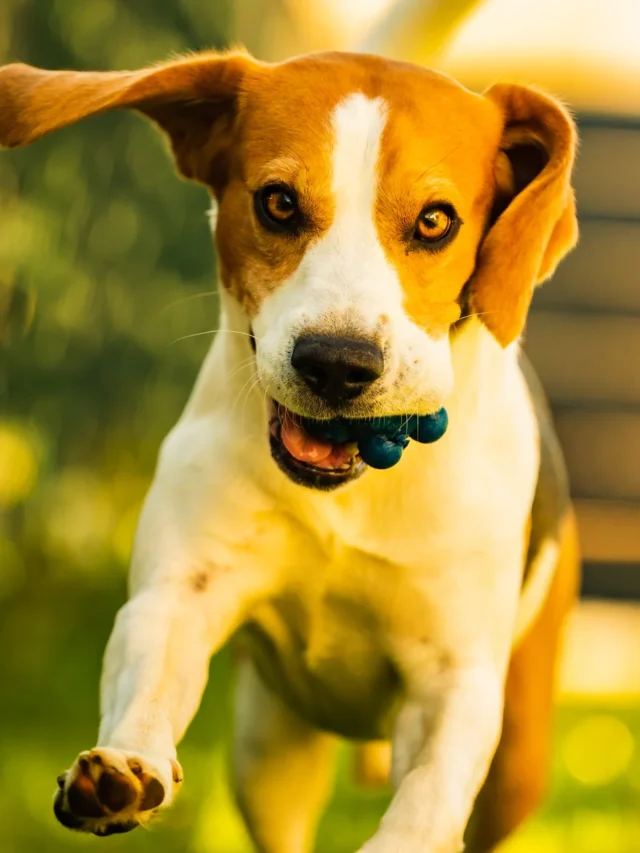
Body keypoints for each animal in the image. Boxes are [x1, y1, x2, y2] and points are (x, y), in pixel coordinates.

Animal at [0, 50, 580, 848]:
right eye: (277, 203)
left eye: (436, 221)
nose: (337, 361)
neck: (352, 489)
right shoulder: (178, 593)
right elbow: (149, 665)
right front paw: (124, 767)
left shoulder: (453, 678)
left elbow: (428, 796)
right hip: (268, 753)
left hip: (516, 762)